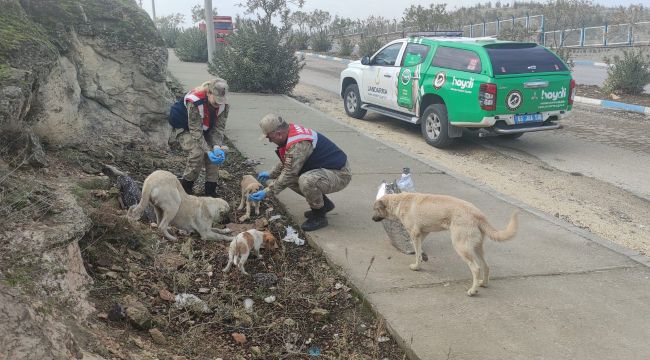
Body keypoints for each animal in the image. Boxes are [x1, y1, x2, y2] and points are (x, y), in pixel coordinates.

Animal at [370, 193, 516, 296]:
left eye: (375, 209)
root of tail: (477, 213)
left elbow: (416, 252)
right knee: (486, 266)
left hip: (461, 246)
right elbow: (419, 249)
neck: (400, 201)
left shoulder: (415, 233)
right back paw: (484, 284)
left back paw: (472, 291)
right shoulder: (423, 233)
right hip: (476, 247)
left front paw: (417, 266)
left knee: (476, 268)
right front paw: (423, 257)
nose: (372, 218)